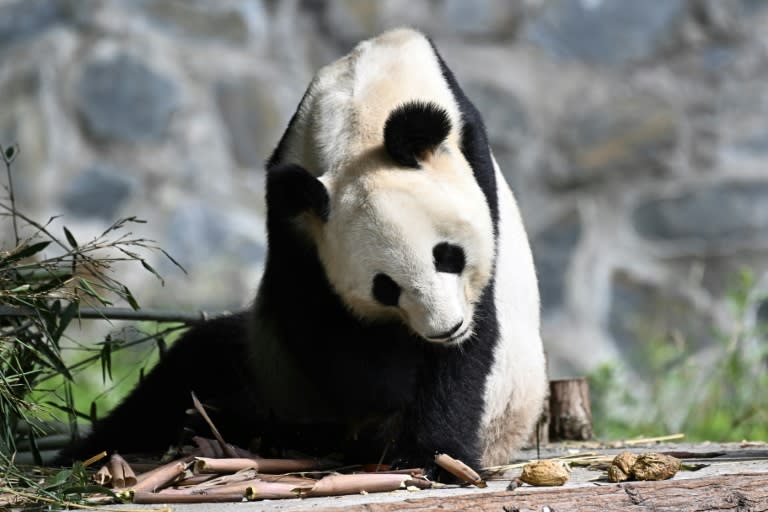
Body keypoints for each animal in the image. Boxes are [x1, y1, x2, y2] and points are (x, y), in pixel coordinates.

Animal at [54, 28, 544, 476]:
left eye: (447, 255)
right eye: (386, 287)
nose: (445, 329)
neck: (365, 109)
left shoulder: (477, 176)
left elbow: (470, 349)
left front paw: (434, 457)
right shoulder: (292, 209)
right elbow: (317, 322)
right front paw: (391, 387)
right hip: (264, 367)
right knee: (184, 375)